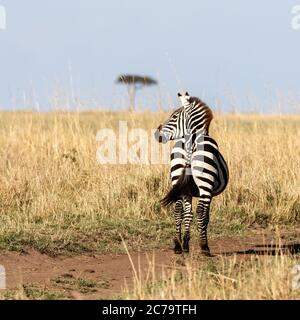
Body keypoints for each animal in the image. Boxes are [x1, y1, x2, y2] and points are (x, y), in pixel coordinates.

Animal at [156, 92, 229, 255]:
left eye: (174, 116)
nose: (157, 135)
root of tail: (192, 143)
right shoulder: (208, 192)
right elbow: (204, 216)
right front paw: (196, 243)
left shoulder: (186, 190)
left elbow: (187, 214)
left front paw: (185, 243)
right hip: (205, 184)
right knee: (201, 211)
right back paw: (204, 247)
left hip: (177, 176)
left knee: (178, 210)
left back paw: (177, 245)